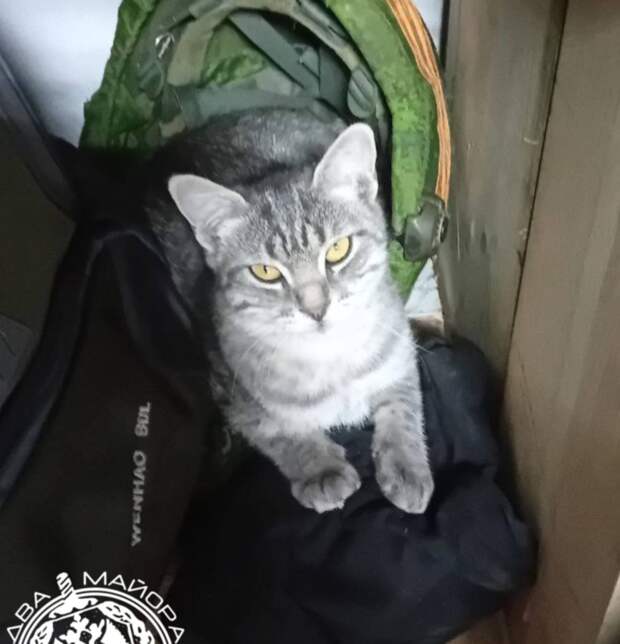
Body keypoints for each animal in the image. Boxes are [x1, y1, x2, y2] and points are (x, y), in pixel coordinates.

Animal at [146, 109, 434, 514]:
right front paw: (322, 470)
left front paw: (406, 464)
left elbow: (403, 405)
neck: (330, 359)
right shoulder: (234, 391)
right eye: (265, 272)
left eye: (338, 250)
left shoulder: (399, 348)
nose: (317, 308)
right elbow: (280, 431)